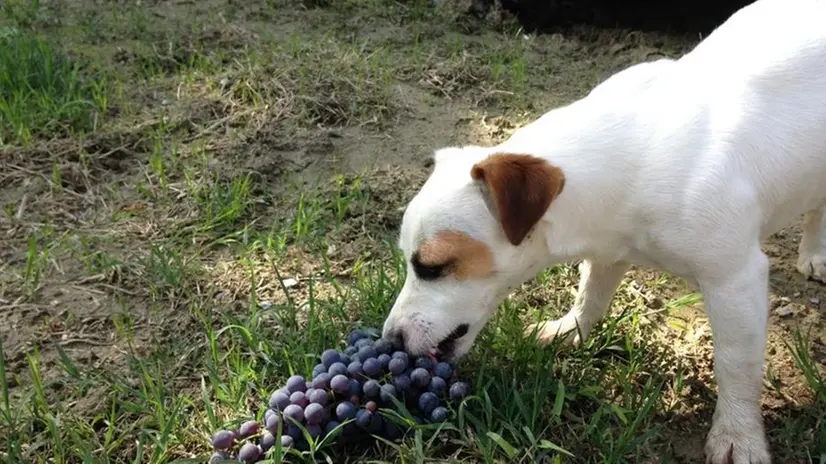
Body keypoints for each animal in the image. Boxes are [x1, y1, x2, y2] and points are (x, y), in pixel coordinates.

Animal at [384, 0, 824, 462]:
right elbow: (591, 294)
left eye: (432, 266)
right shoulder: (609, 248)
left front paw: (738, 434)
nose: (389, 341)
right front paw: (569, 329)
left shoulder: (734, 280)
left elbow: (735, 364)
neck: (628, 155)